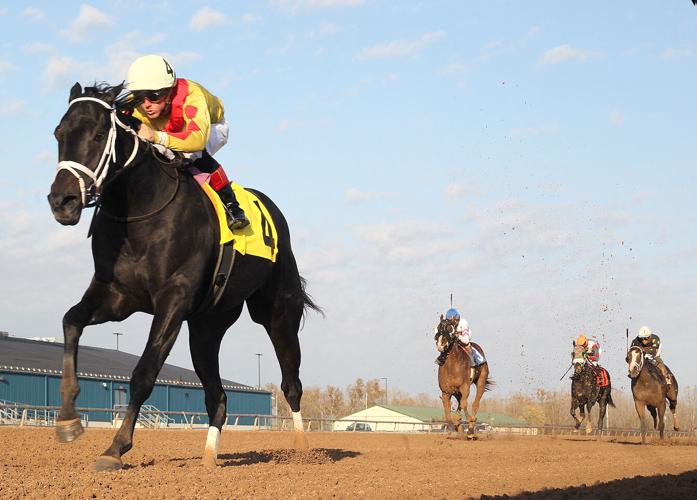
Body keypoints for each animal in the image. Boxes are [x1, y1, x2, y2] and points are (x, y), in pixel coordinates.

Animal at [47, 83, 321, 471]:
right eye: (59, 133)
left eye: (99, 135)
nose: (63, 201)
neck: (142, 211)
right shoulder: (116, 295)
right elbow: (71, 321)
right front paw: (68, 420)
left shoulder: (172, 300)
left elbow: (144, 373)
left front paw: (115, 448)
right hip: (207, 327)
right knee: (217, 397)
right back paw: (208, 459)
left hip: (278, 313)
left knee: (291, 382)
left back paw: (301, 450)